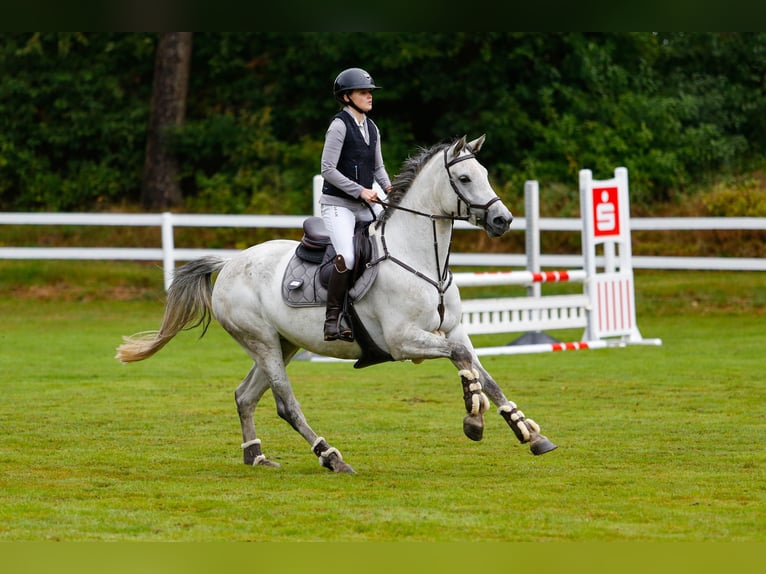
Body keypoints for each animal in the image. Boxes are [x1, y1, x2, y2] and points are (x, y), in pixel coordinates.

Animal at [115, 137, 560, 474]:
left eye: (485, 175)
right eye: (465, 178)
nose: (503, 221)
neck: (419, 259)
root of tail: (229, 264)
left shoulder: (453, 331)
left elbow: (482, 372)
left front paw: (529, 432)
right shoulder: (404, 341)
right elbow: (463, 361)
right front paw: (474, 419)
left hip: (282, 344)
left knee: (245, 395)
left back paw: (256, 455)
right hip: (262, 342)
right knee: (285, 403)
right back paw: (330, 456)